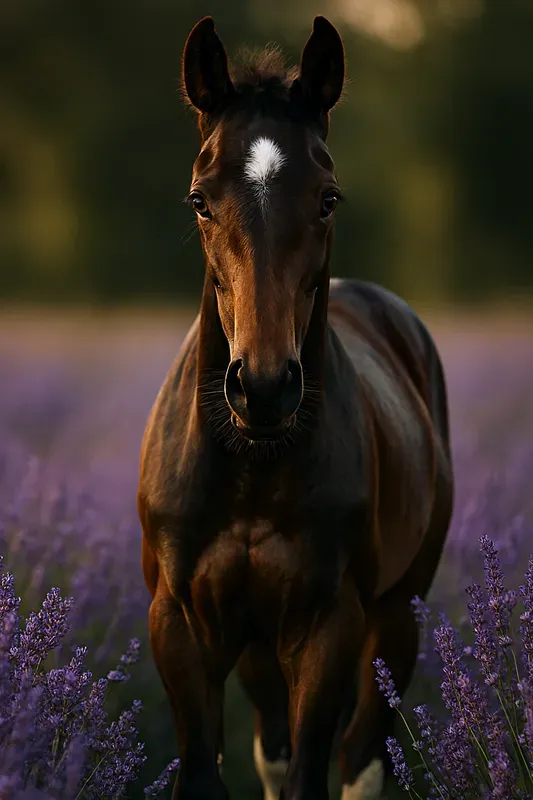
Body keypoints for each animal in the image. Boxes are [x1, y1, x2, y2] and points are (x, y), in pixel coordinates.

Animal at [137, 15, 454, 800]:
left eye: (327, 197)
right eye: (199, 198)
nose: (264, 386)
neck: (252, 464)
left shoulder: (327, 627)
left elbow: (319, 768)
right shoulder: (181, 626)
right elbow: (209, 770)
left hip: (395, 616)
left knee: (361, 756)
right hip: (257, 645)